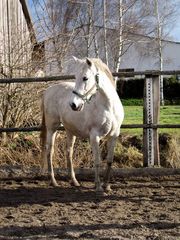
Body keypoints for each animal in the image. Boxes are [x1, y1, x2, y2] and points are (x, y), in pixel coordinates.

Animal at [41, 57, 124, 194]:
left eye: (85, 78)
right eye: (75, 77)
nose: (74, 105)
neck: (108, 106)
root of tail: (48, 90)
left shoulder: (114, 136)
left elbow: (109, 161)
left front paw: (107, 186)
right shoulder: (95, 136)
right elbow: (97, 161)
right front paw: (98, 187)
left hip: (70, 130)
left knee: (68, 152)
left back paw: (74, 181)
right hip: (52, 128)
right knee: (49, 151)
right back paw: (53, 181)